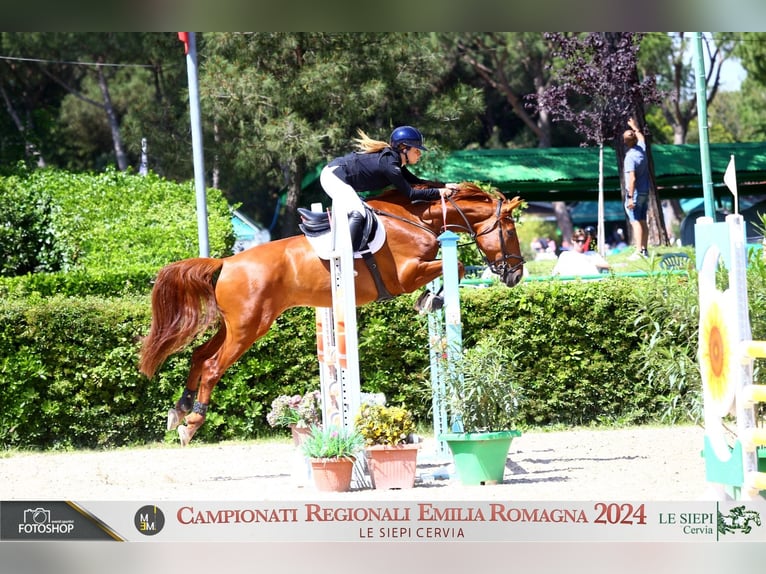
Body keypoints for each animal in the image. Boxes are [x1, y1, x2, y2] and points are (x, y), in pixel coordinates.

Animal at [138, 183, 524, 446]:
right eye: (509, 228)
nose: (516, 274)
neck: (416, 219)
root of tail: (226, 263)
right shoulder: (407, 274)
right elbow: (454, 265)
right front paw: (431, 300)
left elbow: (451, 267)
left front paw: (430, 299)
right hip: (249, 328)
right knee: (212, 366)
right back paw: (191, 424)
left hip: (233, 326)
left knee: (199, 356)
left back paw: (179, 409)